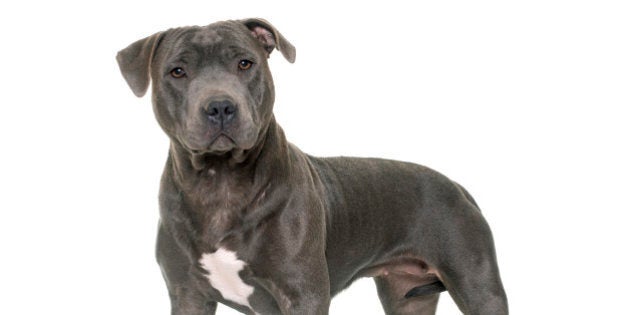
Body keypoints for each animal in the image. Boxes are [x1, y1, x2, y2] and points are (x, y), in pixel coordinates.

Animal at [116, 17, 508, 315]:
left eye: (245, 63)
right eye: (177, 71)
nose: (220, 106)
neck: (219, 183)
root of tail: (457, 186)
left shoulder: (302, 294)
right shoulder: (188, 294)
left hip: (478, 286)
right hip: (407, 297)